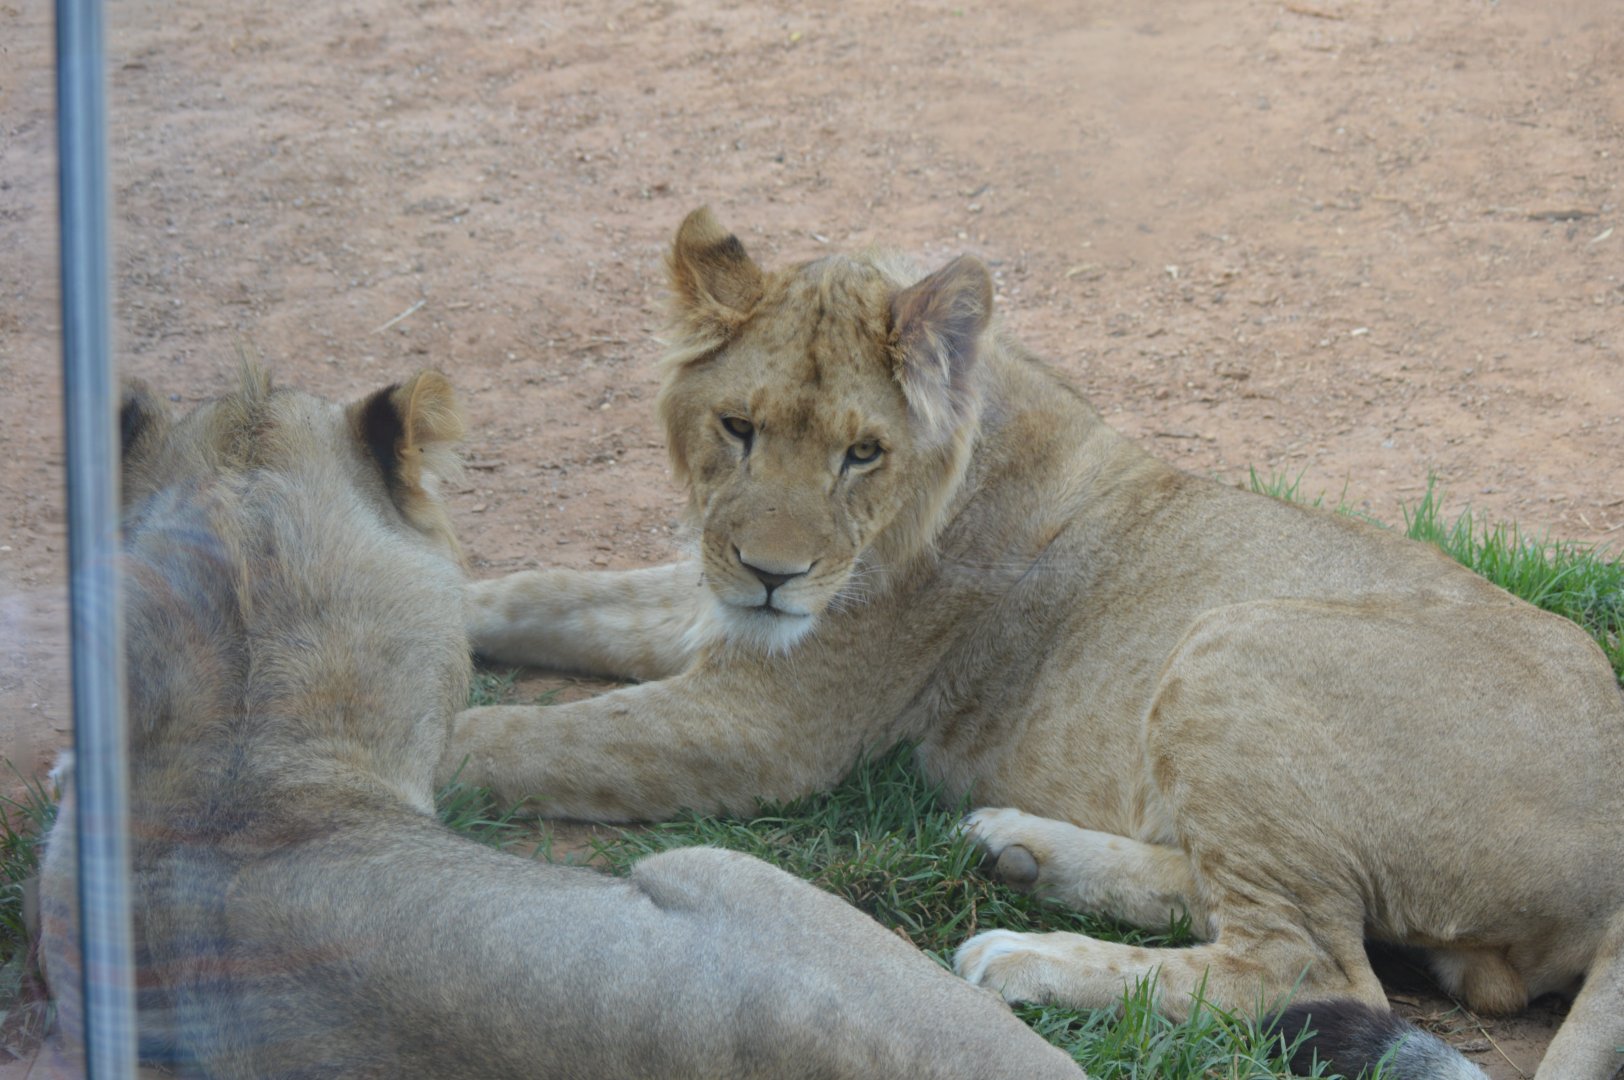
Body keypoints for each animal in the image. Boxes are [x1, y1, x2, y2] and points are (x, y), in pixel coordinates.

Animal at [447, 208, 1624, 1080]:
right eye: (737, 427)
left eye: (861, 454)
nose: (774, 575)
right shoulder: (709, 602)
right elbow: (538, 592)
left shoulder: (766, 727)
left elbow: (519, 739)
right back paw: (1014, 847)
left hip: (1236, 641)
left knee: (1309, 971)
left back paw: (1018, 955)